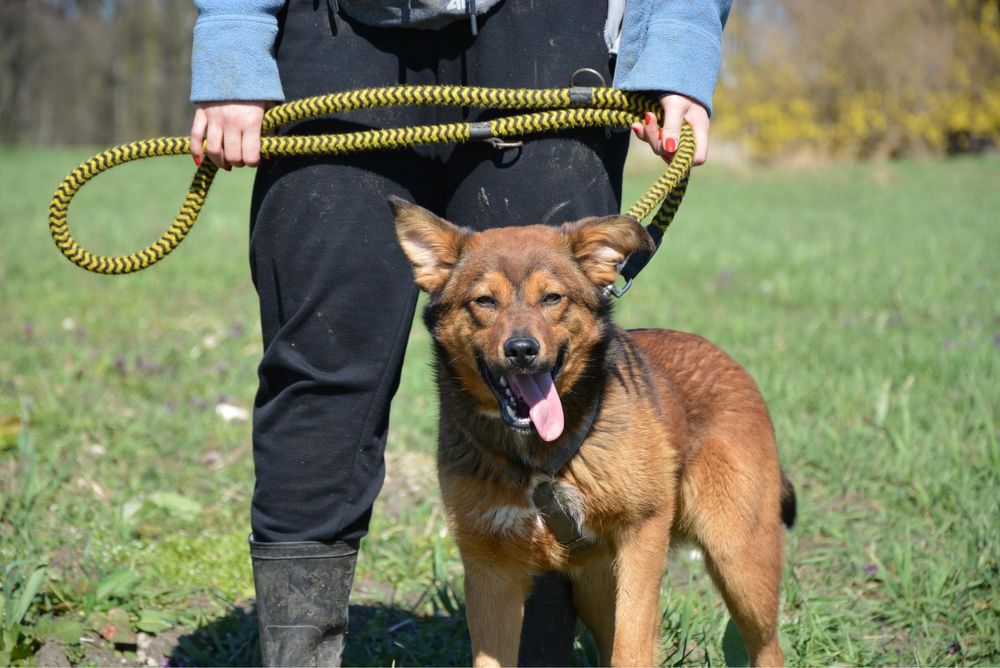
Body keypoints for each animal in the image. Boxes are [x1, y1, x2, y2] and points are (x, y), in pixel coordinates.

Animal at [390, 198, 796, 668]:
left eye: (552, 298)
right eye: (485, 301)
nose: (522, 350)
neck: (537, 460)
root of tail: (731, 364)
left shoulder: (643, 535)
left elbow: (632, 646)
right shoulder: (491, 571)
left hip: (740, 562)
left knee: (767, 647)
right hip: (597, 585)